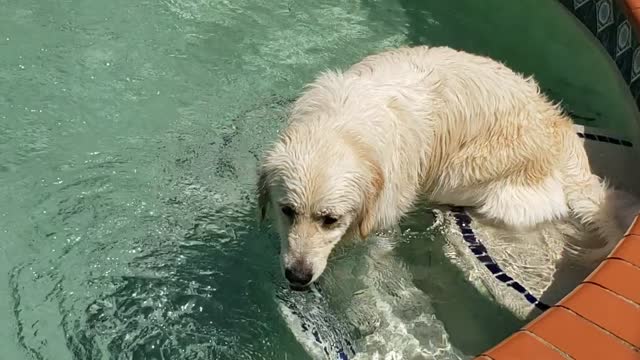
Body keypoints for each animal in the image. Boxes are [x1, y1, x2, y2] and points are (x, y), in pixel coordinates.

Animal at [258, 45, 636, 290]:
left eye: (330, 220)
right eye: (287, 210)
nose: (298, 276)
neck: (344, 122)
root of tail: (560, 134)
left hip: (473, 177)